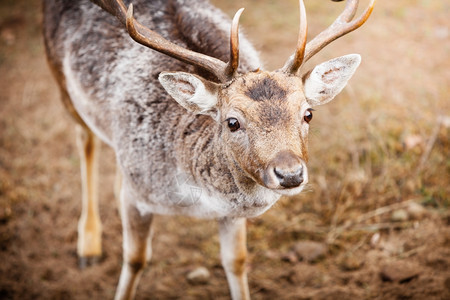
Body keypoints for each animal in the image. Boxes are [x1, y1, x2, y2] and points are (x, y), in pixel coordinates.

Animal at [42, 0, 374, 298]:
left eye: (308, 114)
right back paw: (88, 248)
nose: (290, 174)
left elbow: (236, 262)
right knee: (84, 139)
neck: (193, 200)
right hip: (61, 81)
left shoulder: (231, 215)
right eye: (232, 122)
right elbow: (135, 260)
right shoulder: (137, 197)